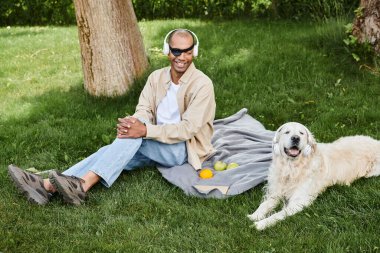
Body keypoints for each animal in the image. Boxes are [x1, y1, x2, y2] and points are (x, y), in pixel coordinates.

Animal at [246, 121, 380, 230]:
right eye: (287, 132)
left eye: (301, 133)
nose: (295, 138)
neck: (292, 167)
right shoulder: (275, 192)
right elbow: (264, 204)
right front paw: (255, 215)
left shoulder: (299, 201)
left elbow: (278, 214)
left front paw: (261, 224)